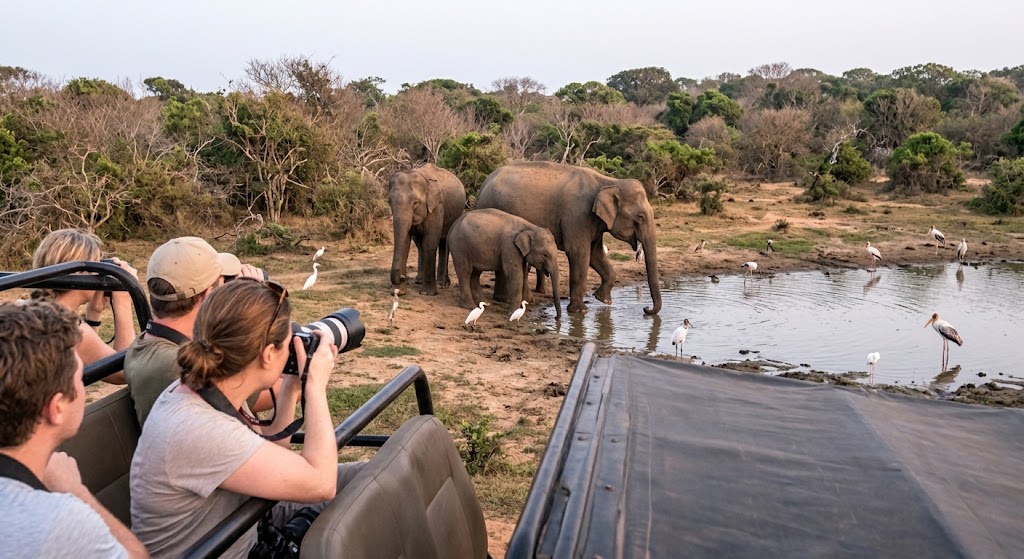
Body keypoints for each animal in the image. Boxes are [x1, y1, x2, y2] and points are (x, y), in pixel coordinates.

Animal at [388, 163, 467, 296]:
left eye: (415, 203)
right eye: (389, 202)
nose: (403, 277)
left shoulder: (437, 207)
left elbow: (430, 243)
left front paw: (427, 293)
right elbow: (405, 243)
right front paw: (399, 292)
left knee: (444, 243)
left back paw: (442, 284)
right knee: (422, 245)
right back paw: (422, 280)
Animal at [476, 161, 661, 315]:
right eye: (640, 217)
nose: (645, 309)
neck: (608, 181)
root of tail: (483, 184)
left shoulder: (593, 222)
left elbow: (595, 254)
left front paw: (602, 299)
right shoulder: (577, 216)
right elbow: (579, 253)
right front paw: (580, 311)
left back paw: (505, 299)